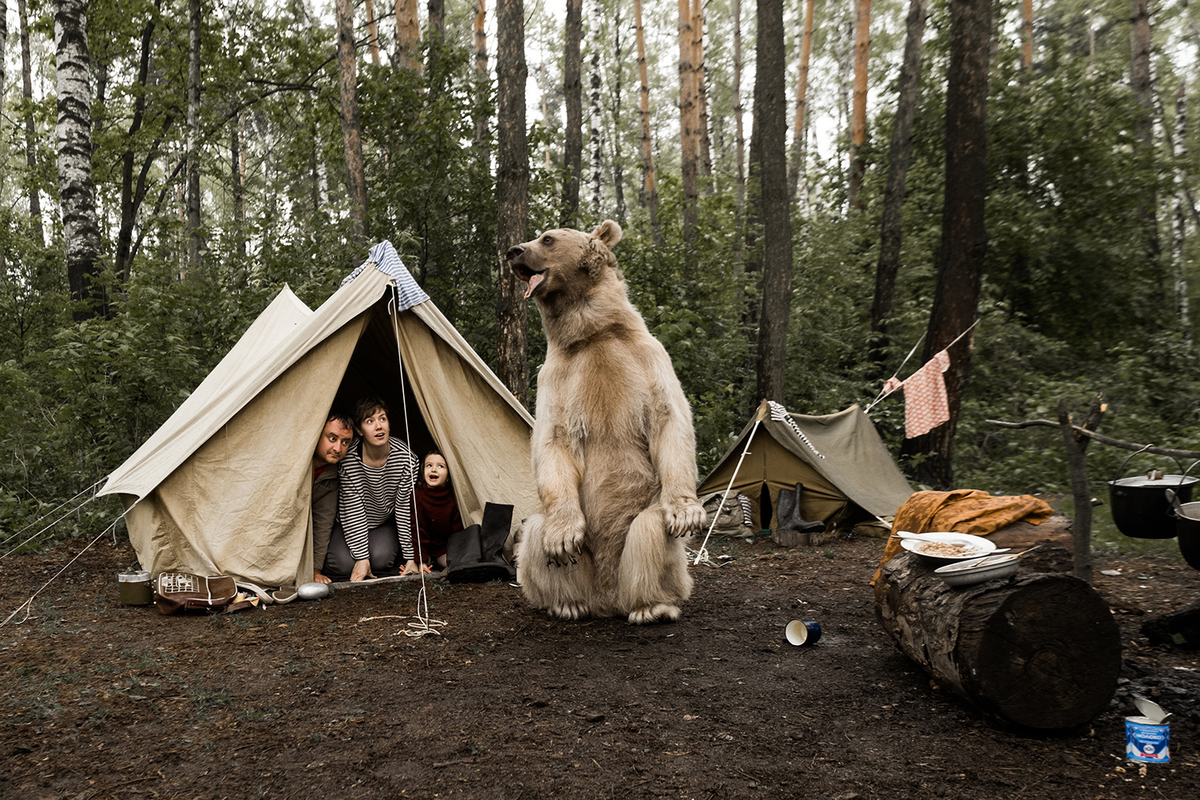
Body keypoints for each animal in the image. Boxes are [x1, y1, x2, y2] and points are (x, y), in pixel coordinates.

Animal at [504, 220, 700, 623]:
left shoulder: (646, 357)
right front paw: (563, 539)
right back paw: (568, 603)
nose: (514, 251)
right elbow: (552, 439)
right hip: (574, 559)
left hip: (648, 545)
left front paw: (686, 512)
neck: (593, 332)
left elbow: (669, 419)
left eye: (547, 238)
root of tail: (607, 599)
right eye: (537, 236)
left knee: (648, 530)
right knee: (535, 531)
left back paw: (652, 606)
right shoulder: (556, 377)